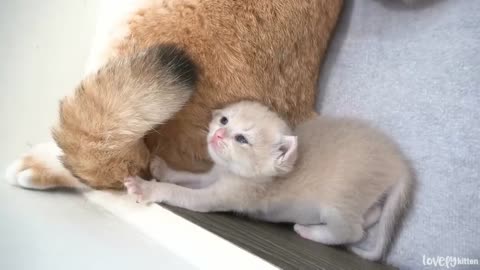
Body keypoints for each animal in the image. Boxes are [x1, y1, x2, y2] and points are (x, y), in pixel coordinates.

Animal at [124, 100, 412, 260]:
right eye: (224, 120)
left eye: (242, 139)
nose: (218, 134)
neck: (232, 172)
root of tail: (398, 161)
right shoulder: (213, 176)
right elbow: (188, 177)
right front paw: (163, 169)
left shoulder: (218, 196)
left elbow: (178, 192)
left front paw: (147, 187)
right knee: (372, 214)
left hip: (340, 202)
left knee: (352, 231)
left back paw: (310, 231)